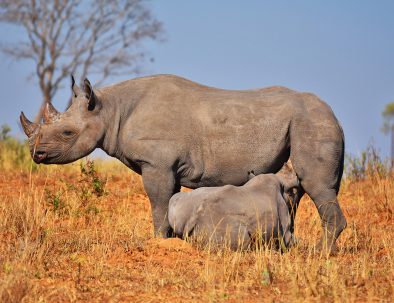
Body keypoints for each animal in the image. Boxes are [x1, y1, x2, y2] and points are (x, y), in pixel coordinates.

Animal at [168, 169, 300, 252]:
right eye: (292, 195)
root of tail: (194, 218)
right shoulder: (285, 228)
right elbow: (293, 240)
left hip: (180, 204)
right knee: (244, 240)